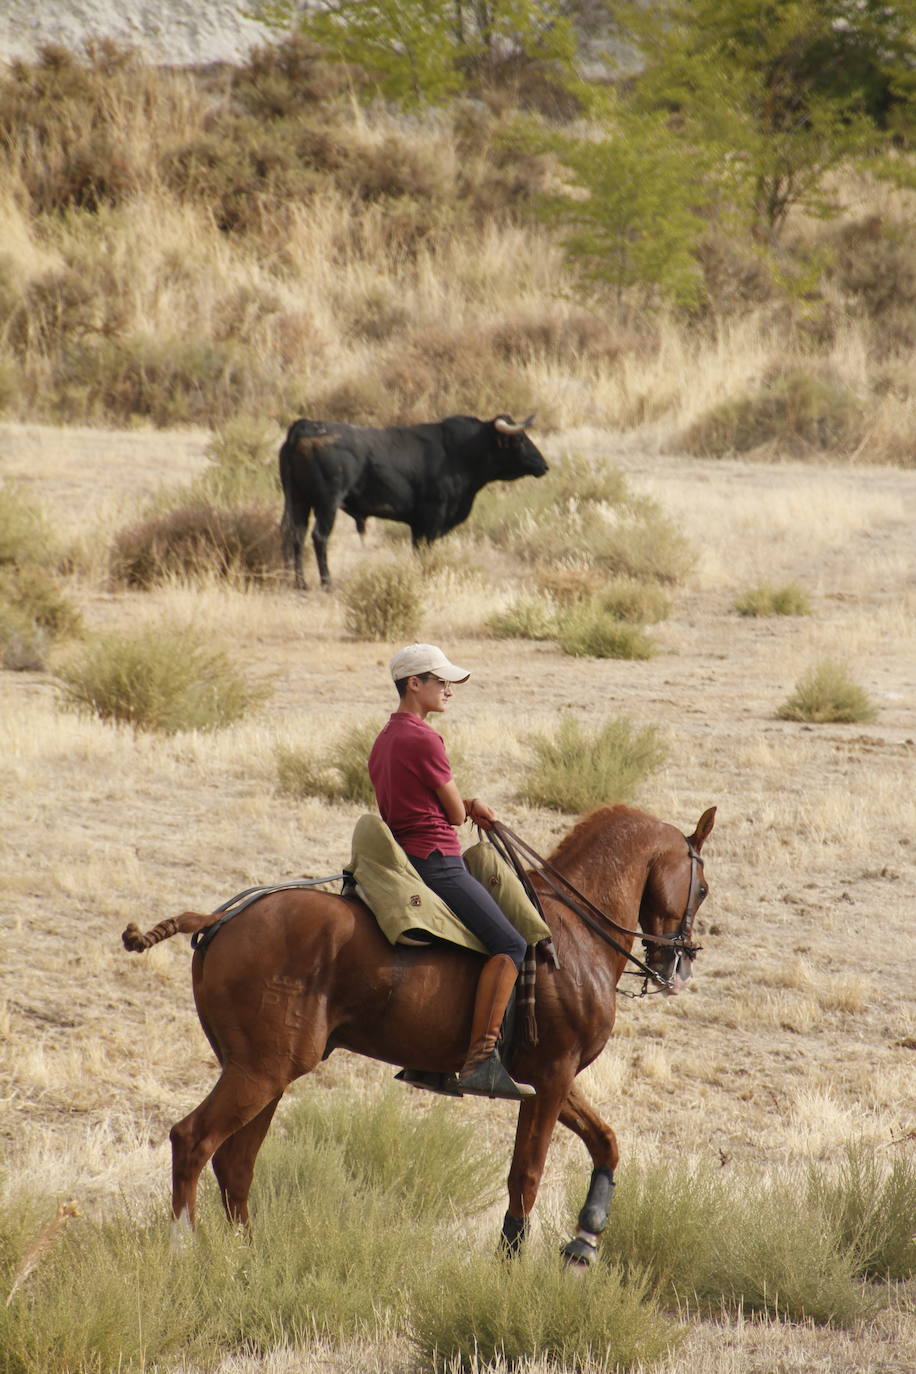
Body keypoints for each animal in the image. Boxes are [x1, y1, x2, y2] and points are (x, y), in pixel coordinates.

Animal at [121, 802, 714, 1264]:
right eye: (703, 888)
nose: (680, 965)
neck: (572, 935)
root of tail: (220, 919)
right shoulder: (551, 1076)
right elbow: (526, 1175)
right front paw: (511, 1269)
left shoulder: (546, 1081)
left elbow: (605, 1142)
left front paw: (585, 1241)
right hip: (260, 1072)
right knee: (193, 1141)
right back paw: (185, 1252)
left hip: (263, 1075)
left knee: (235, 1164)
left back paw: (249, 1262)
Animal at [280, 409, 549, 588]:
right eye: (519, 439)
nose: (543, 465)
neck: (462, 453)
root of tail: (306, 426)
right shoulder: (431, 518)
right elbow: (423, 550)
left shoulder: (419, 524)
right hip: (327, 503)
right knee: (318, 536)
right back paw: (327, 583)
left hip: (298, 501)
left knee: (294, 534)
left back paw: (298, 583)